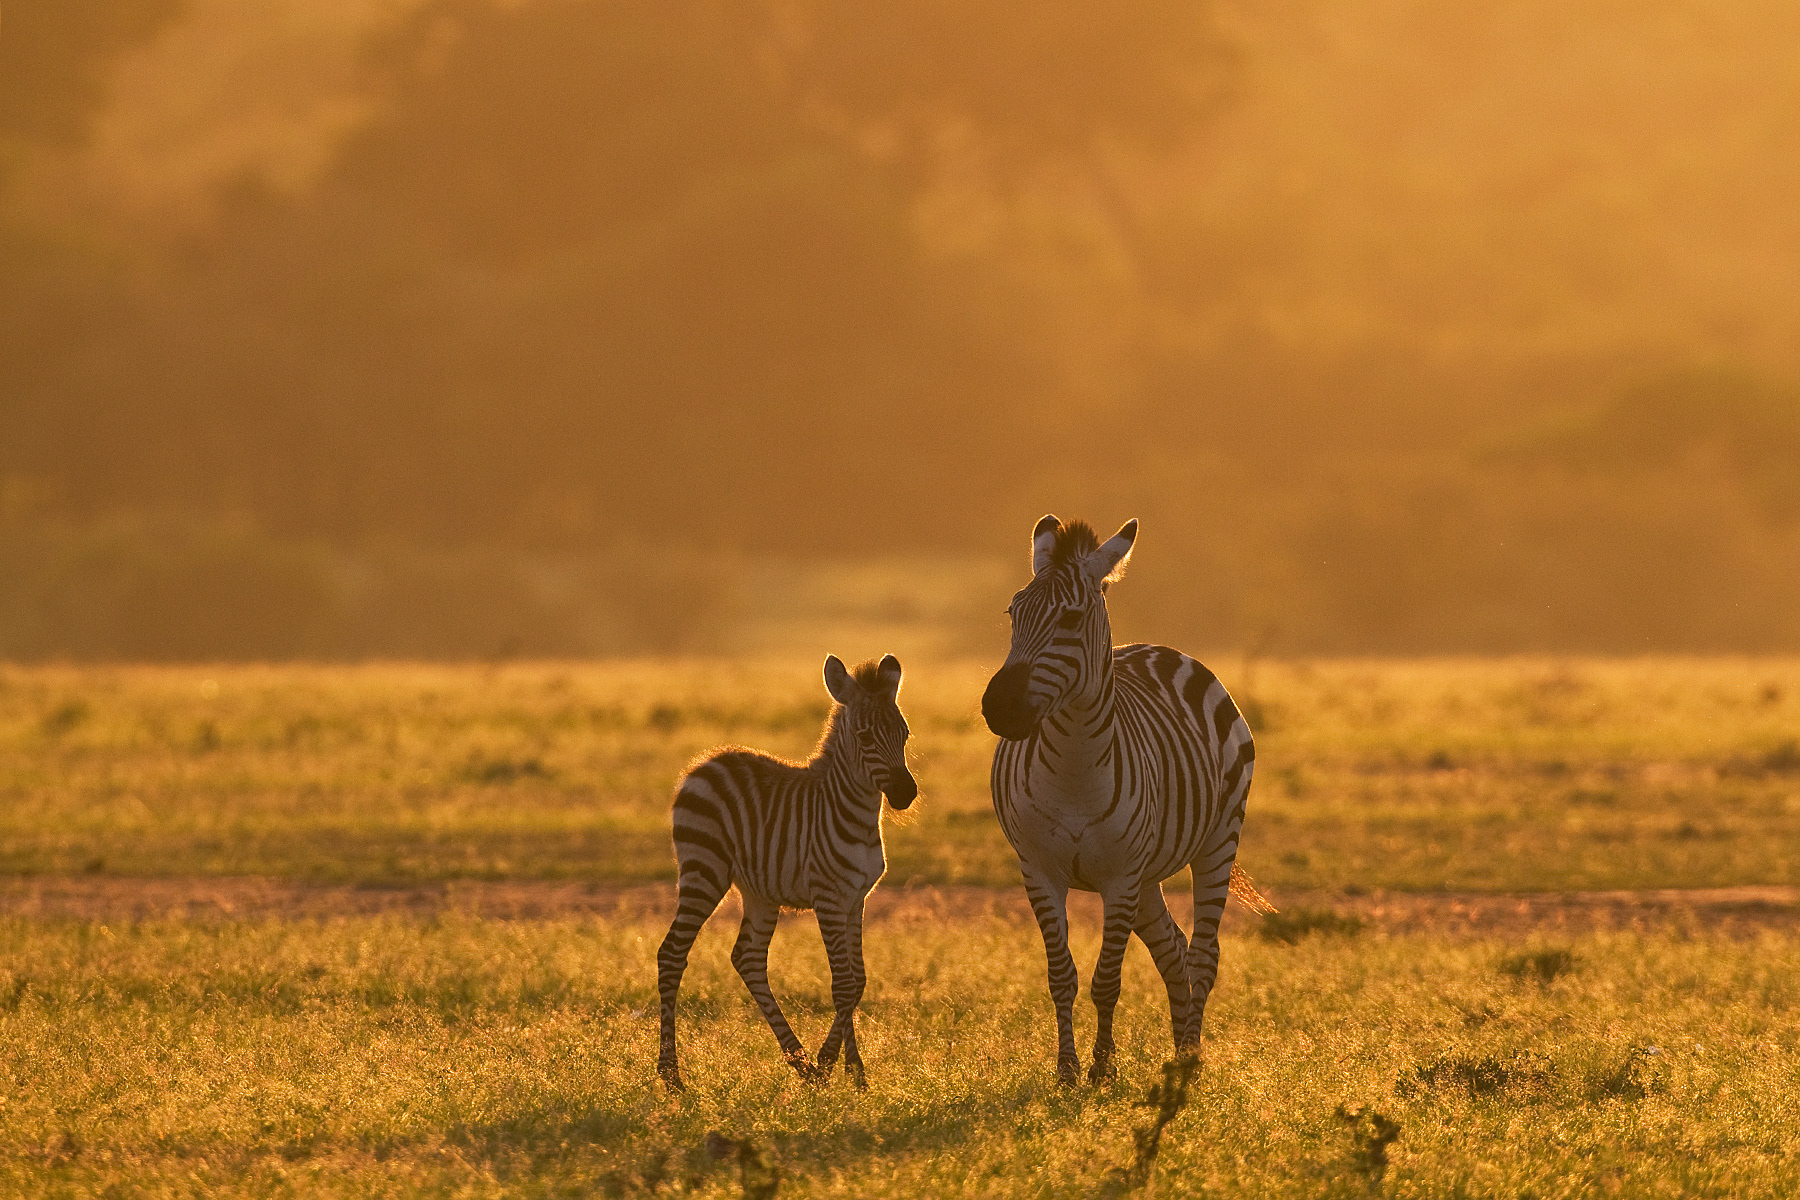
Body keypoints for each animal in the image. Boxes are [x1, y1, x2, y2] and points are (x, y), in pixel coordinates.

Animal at [656, 654, 916, 1092]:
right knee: (672, 953)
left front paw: (849, 1072)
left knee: (747, 958)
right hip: (704, 871)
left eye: (905, 734)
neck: (859, 818)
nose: (905, 794)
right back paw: (671, 1074)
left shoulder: (855, 900)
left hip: (759, 892)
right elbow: (843, 984)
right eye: (864, 737)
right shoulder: (828, 899)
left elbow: (858, 982)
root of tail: (706, 762)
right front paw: (834, 1066)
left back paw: (799, 1062)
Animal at [981, 515, 1273, 1085]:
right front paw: (1068, 1070)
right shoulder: (1040, 871)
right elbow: (1062, 976)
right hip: (1148, 877)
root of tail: (1159, 649)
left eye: (1071, 618)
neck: (1074, 770)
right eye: (1012, 613)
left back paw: (1190, 1061)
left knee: (1203, 955)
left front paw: (1101, 1069)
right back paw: (1180, 1052)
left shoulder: (1119, 879)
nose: (1000, 707)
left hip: (1217, 840)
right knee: (1174, 951)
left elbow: (1107, 980)